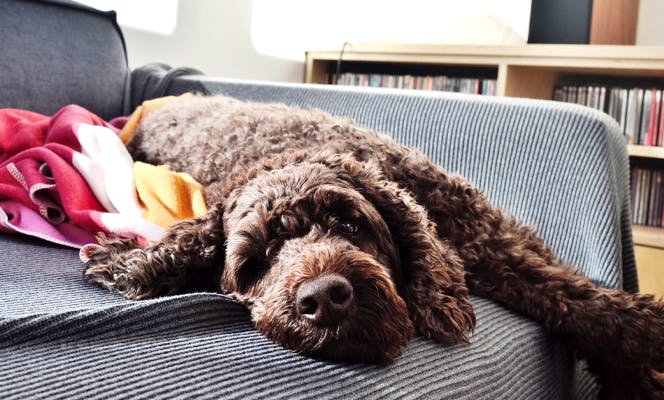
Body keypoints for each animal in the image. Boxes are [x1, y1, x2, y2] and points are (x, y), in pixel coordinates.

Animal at [83, 94, 664, 396]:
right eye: (255, 263)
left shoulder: (497, 243)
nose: (324, 300)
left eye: (349, 223)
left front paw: (638, 364)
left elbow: (589, 306)